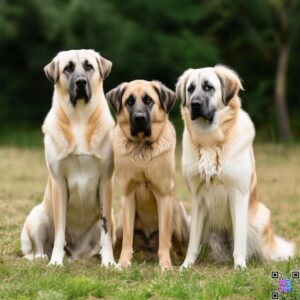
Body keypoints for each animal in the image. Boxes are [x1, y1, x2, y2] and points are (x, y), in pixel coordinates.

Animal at [20, 49, 116, 268]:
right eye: (68, 68)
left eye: (89, 66)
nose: (80, 82)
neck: (79, 118)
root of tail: (75, 252)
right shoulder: (59, 183)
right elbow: (60, 230)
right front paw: (56, 261)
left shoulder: (105, 182)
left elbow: (106, 233)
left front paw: (109, 262)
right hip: (37, 216)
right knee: (36, 248)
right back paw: (42, 256)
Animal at [177, 65, 294, 270]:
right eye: (190, 89)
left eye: (208, 87)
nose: (194, 104)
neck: (210, 142)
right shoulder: (197, 198)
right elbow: (192, 243)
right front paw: (186, 266)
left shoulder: (238, 194)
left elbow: (239, 241)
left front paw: (240, 267)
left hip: (261, 217)